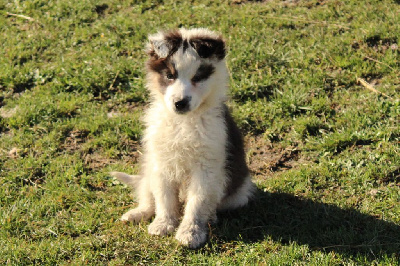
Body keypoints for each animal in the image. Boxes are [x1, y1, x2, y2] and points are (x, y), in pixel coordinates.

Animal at [111, 28, 256, 248]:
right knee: (148, 195)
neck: (183, 122)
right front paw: (163, 224)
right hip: (149, 169)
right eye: (170, 75)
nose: (180, 103)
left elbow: (197, 203)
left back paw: (210, 217)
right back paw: (137, 214)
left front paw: (190, 232)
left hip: (237, 194)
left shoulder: (206, 167)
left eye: (198, 77)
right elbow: (164, 198)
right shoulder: (161, 163)